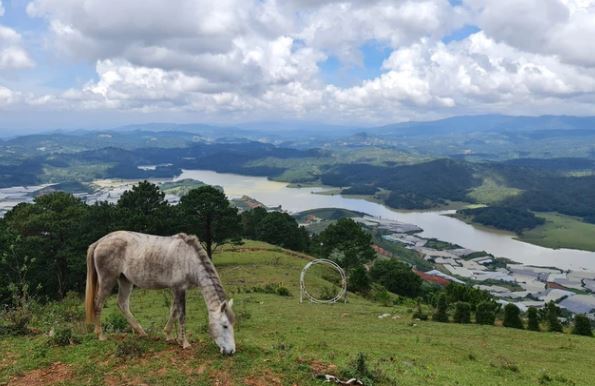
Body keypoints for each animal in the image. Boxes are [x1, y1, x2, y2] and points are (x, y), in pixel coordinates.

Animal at [84, 231, 237, 354]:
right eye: (224, 325)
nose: (231, 351)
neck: (188, 258)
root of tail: (99, 242)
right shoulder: (179, 289)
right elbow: (181, 315)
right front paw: (185, 343)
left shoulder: (177, 289)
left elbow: (173, 311)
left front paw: (170, 336)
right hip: (107, 280)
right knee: (98, 304)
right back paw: (101, 335)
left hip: (125, 281)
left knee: (122, 304)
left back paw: (141, 332)